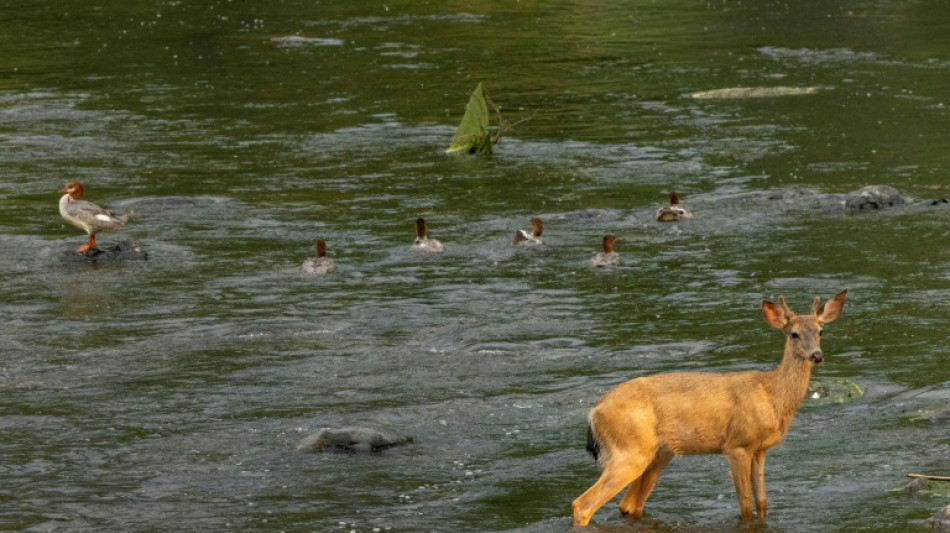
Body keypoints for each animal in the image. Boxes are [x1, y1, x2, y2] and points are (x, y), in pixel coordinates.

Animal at [572, 289, 848, 526]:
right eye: (794, 334)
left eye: (821, 331)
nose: (817, 355)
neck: (772, 395)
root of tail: (594, 412)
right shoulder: (737, 446)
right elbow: (746, 507)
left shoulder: (760, 450)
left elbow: (762, 504)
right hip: (629, 451)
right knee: (583, 504)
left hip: (657, 454)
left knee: (629, 506)